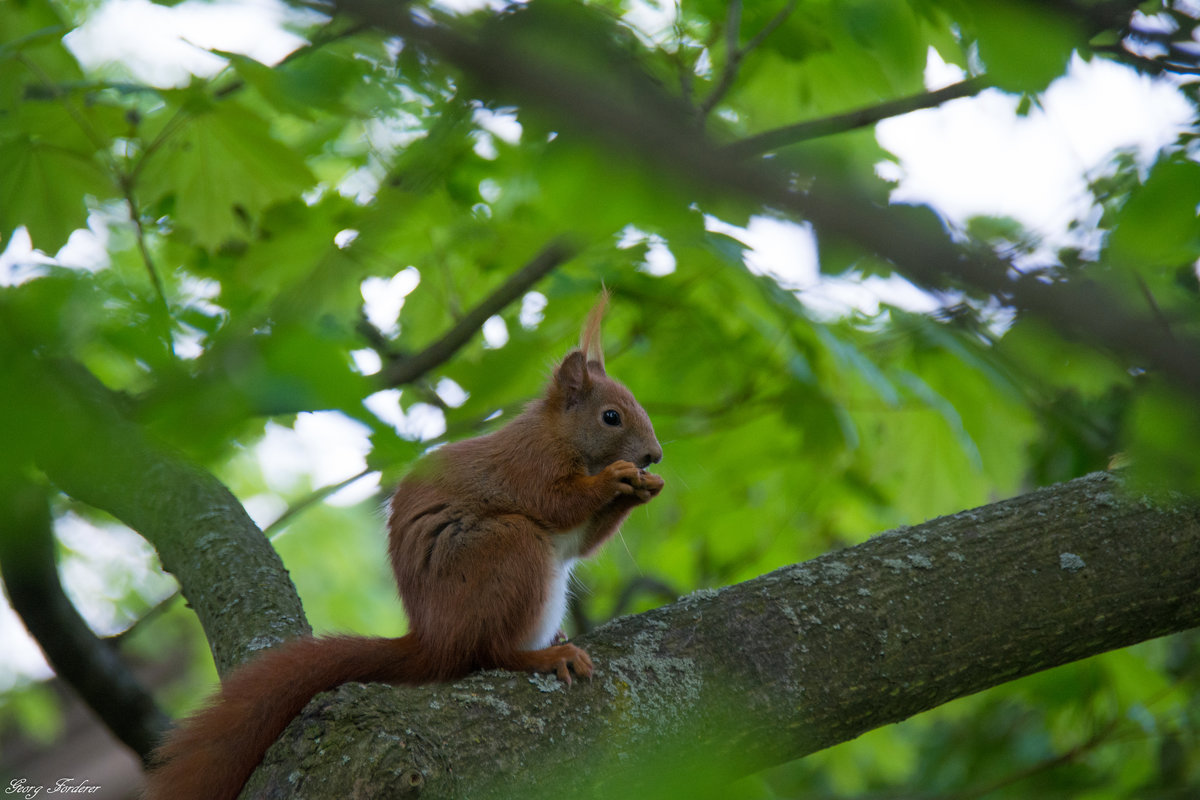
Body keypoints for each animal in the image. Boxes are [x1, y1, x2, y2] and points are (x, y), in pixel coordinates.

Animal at [144, 296, 667, 800]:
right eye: (611, 416)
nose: (654, 456)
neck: (557, 433)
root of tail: (433, 640)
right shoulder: (529, 466)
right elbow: (559, 503)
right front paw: (616, 478)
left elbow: (582, 541)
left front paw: (645, 488)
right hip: (508, 550)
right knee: (488, 652)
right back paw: (539, 656)